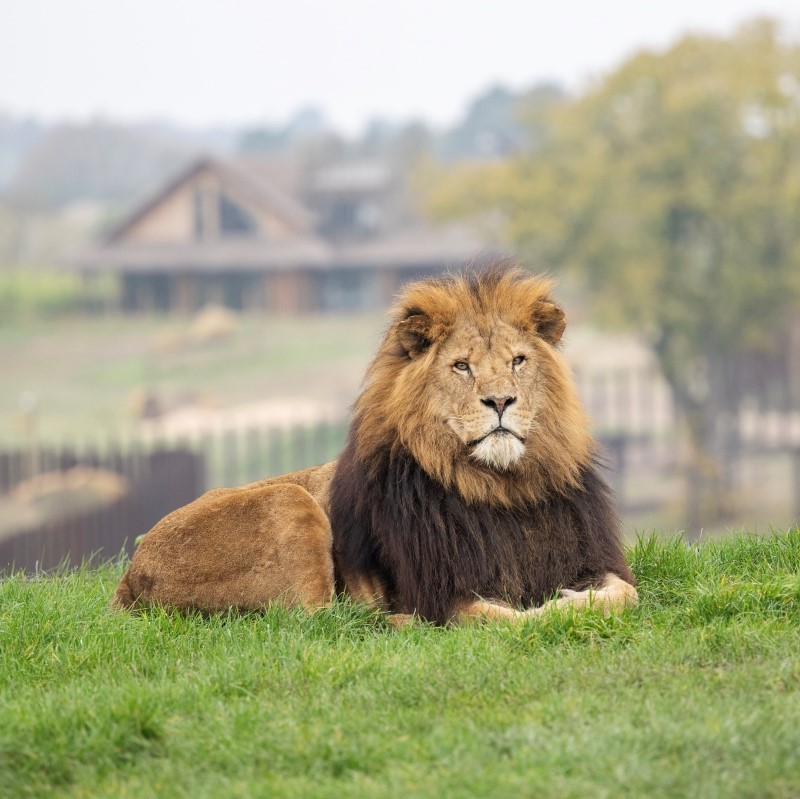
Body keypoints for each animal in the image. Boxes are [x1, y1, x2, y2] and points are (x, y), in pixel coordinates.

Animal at [113, 264, 637, 624]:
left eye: (518, 361)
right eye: (462, 366)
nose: (501, 401)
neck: (500, 488)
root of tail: (130, 576)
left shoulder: (590, 558)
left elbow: (626, 594)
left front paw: (579, 597)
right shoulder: (442, 594)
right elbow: (507, 620)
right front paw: (554, 608)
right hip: (288, 501)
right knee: (323, 624)